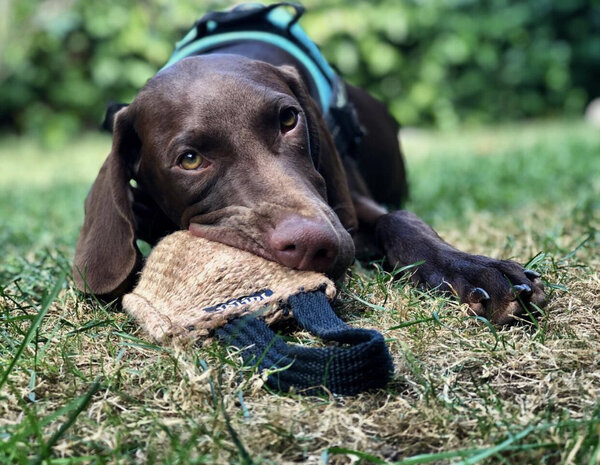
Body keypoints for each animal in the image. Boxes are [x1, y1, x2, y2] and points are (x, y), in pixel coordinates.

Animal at [72, 4, 548, 322]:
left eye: (288, 119)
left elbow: (399, 220)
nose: (315, 243)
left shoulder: (348, 200)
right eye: (189, 160)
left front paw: (471, 267)